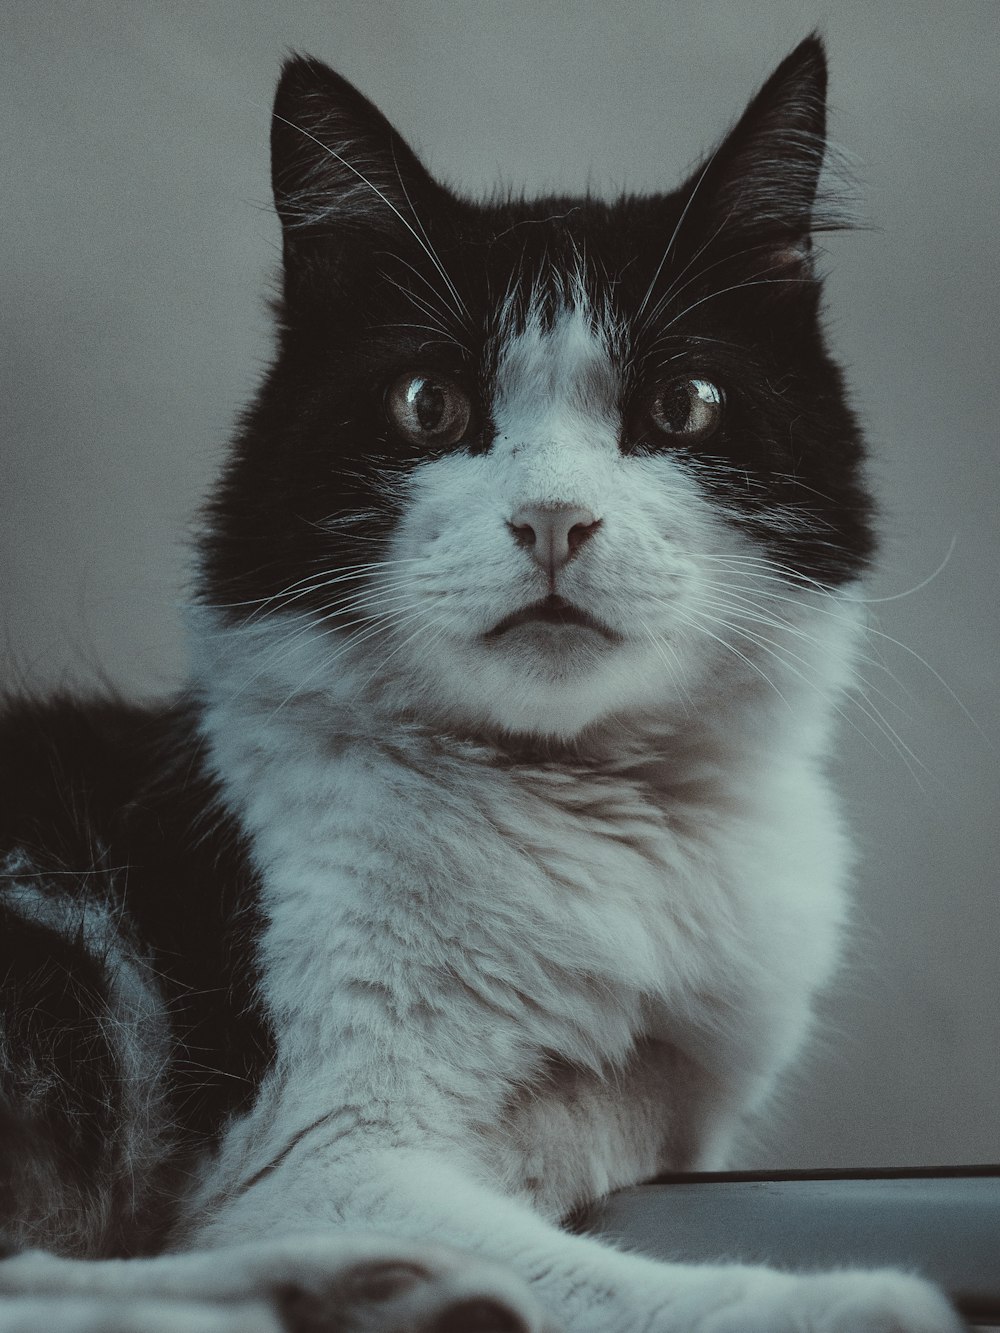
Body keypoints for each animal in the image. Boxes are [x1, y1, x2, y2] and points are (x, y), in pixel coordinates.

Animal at [0, 31, 965, 1333]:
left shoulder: (682, 1087)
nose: (553, 517)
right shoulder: (314, 1150)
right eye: (429, 404)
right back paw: (388, 1283)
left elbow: (620, 1115)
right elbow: (607, 1279)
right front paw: (847, 1300)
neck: (585, 806)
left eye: (682, 405)